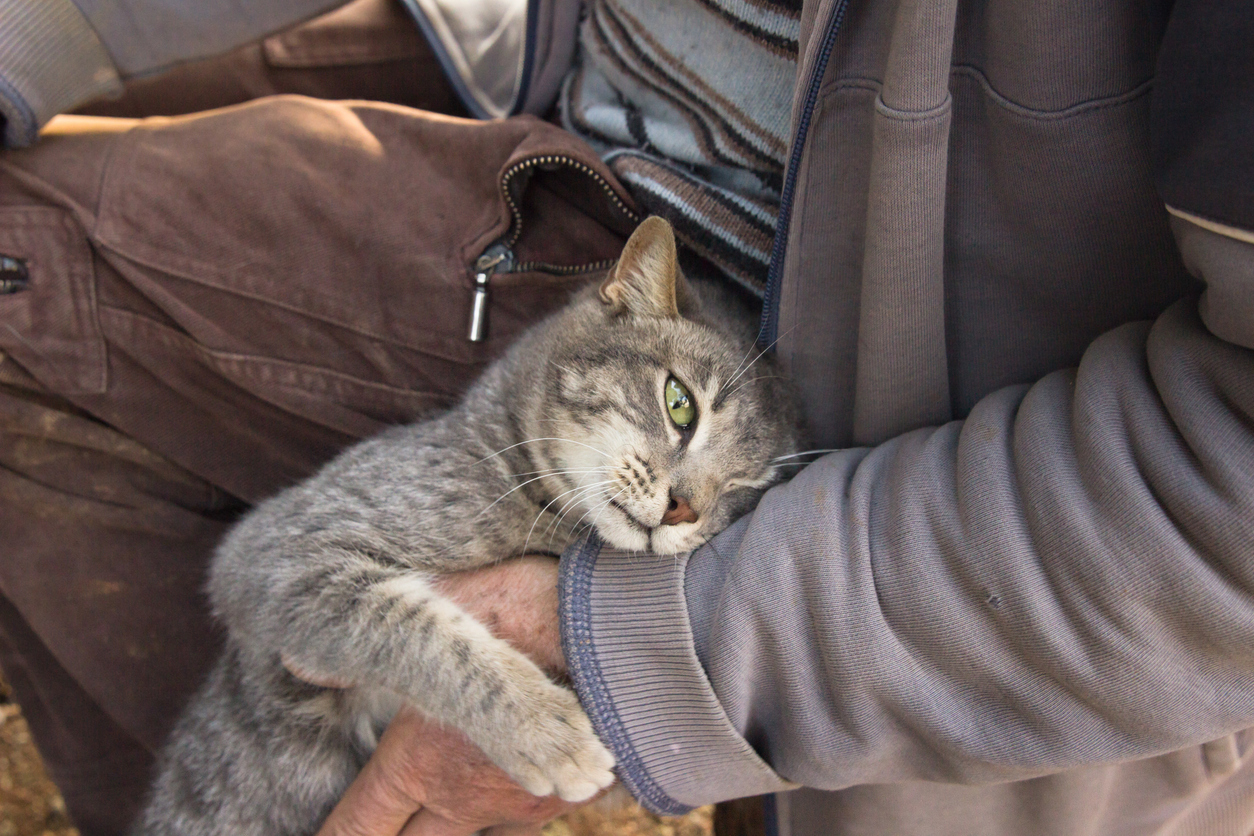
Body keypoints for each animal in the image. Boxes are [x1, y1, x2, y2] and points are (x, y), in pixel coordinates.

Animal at [132, 219, 797, 832]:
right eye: (680, 404)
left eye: (746, 491)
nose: (686, 507)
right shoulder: (278, 552)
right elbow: (418, 631)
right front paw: (547, 731)